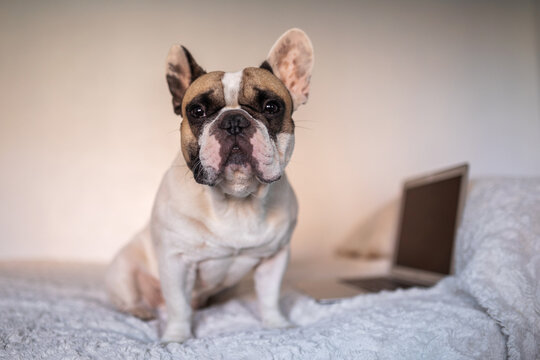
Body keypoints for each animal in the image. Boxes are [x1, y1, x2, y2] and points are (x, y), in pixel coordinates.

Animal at [105, 28, 314, 344]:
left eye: (271, 107)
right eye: (197, 111)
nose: (234, 120)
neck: (237, 201)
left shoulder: (274, 258)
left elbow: (269, 296)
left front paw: (278, 325)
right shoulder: (176, 262)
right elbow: (178, 305)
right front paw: (177, 338)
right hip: (123, 271)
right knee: (127, 298)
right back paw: (139, 311)